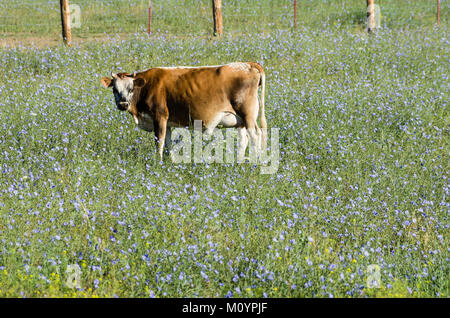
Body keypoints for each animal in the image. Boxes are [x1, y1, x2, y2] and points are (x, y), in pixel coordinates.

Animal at [100, 61, 266, 161]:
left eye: (131, 88)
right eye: (115, 89)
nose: (123, 104)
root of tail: (247, 64)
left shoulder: (159, 117)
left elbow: (159, 142)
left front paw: (157, 163)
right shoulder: (167, 122)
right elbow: (168, 143)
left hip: (248, 116)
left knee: (255, 136)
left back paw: (255, 162)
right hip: (240, 121)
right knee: (244, 139)